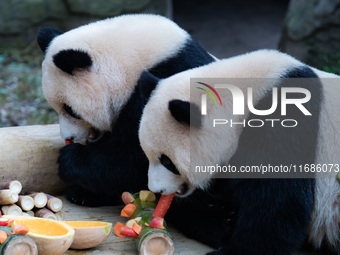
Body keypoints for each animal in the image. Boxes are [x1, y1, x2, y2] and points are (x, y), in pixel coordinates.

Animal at [36, 13, 215, 205]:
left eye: (70, 110)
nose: (69, 137)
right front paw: (83, 193)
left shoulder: (161, 85)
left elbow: (135, 159)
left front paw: (69, 159)